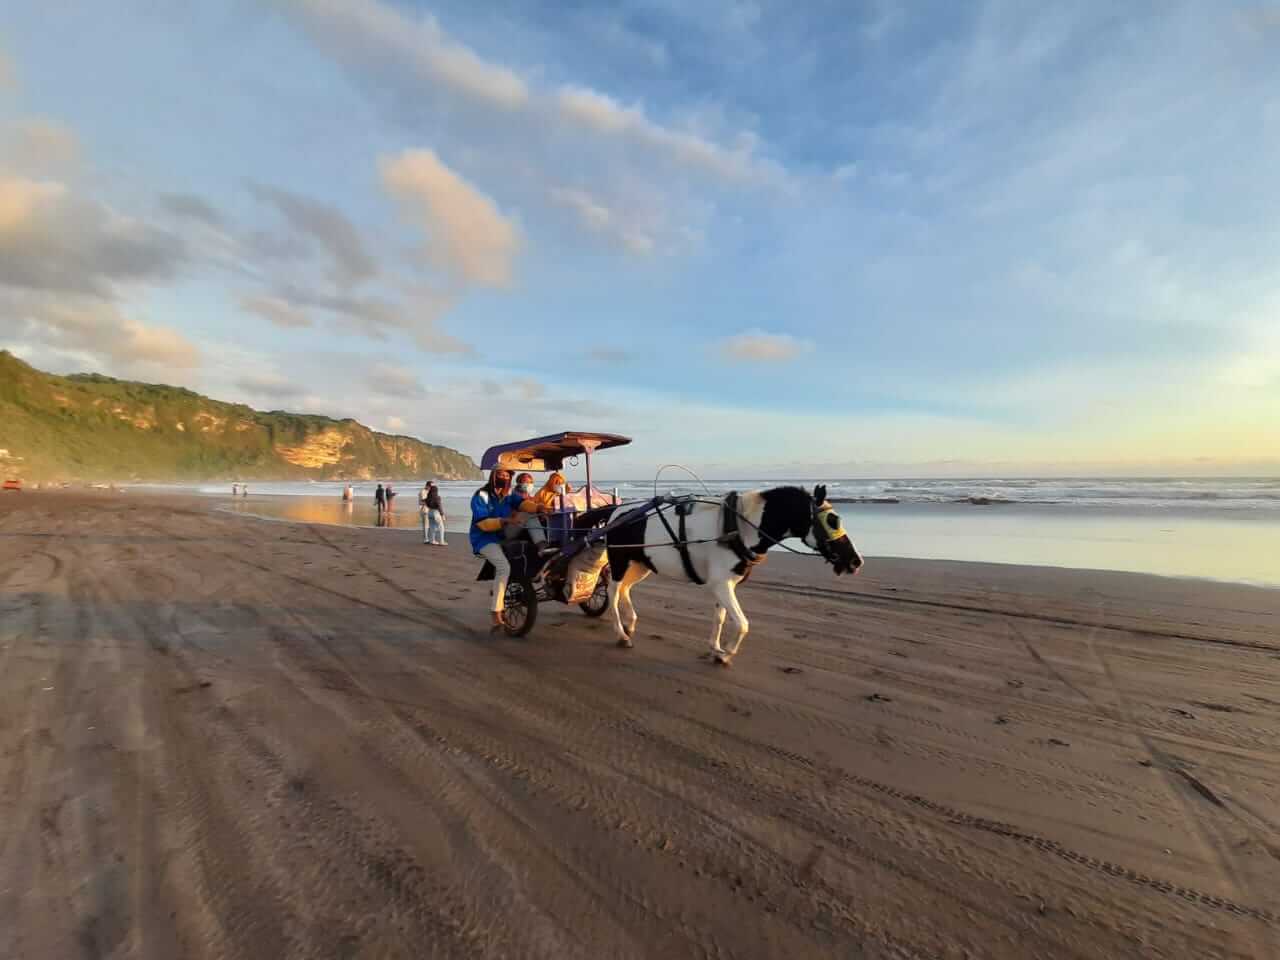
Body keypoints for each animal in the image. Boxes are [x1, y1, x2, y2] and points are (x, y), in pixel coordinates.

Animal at [581, 483, 860, 665]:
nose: (856, 561)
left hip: (641, 564)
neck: (739, 527)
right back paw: (620, 633)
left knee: (625, 589)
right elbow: (743, 624)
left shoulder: (724, 585)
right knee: (614, 591)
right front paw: (726, 654)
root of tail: (617, 512)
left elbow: (721, 618)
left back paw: (630, 622)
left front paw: (715, 648)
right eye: (833, 521)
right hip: (620, 561)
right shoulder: (721, 584)